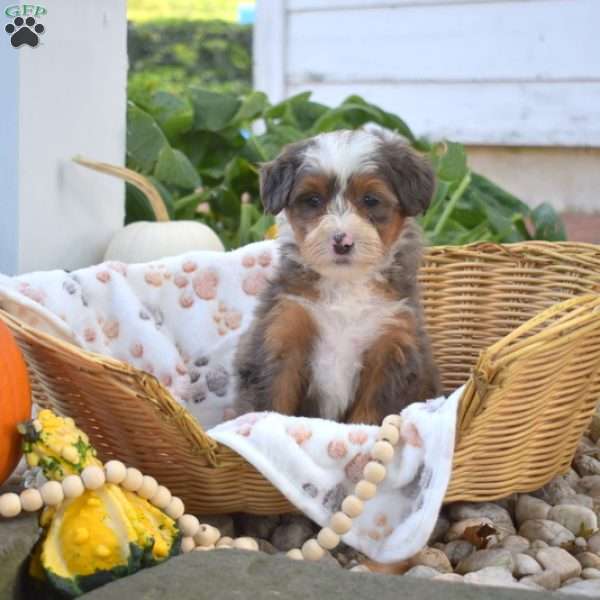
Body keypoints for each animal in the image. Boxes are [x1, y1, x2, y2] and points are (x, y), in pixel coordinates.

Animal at [234, 129, 440, 424]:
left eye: (370, 200)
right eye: (313, 200)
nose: (342, 242)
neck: (346, 285)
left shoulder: (391, 347)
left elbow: (368, 416)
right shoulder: (282, 333)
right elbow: (272, 404)